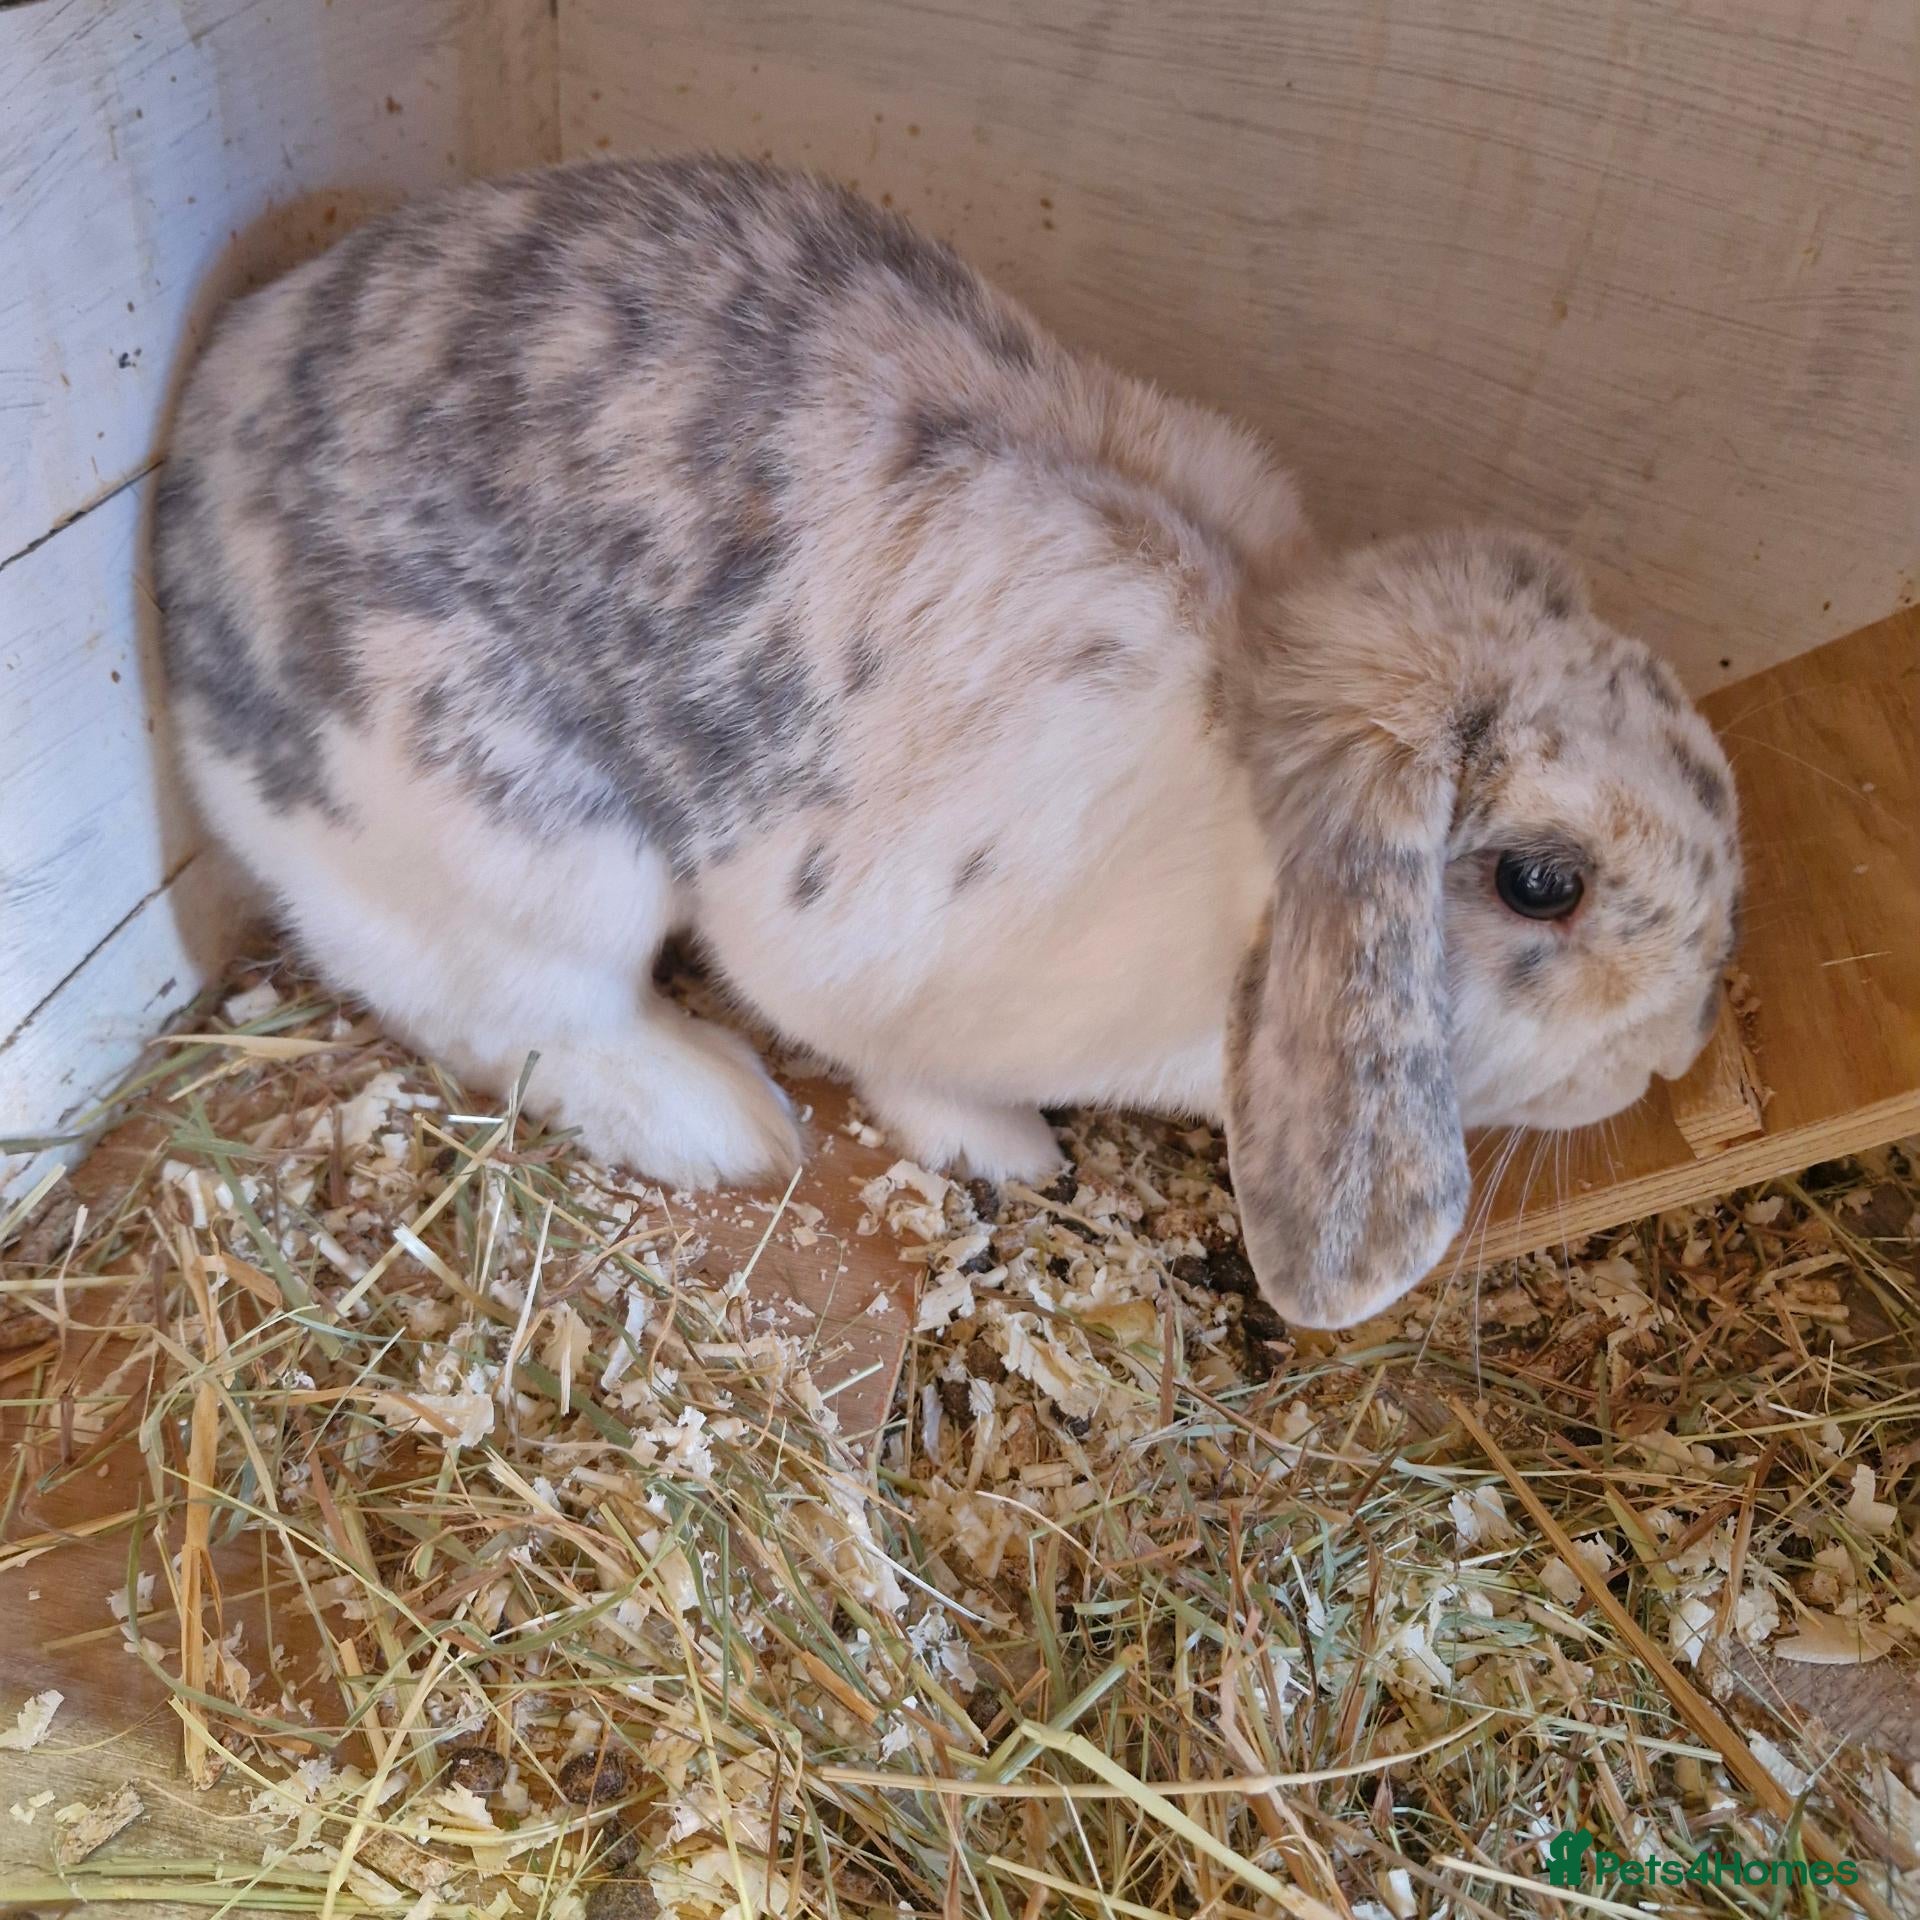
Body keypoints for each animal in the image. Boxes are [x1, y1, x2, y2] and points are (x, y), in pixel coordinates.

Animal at [153, 155, 1741, 1330]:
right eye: (1541, 884)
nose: (1673, 1054)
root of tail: (189, 490)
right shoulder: (869, 954)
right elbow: (903, 1068)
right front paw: (1011, 1153)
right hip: (523, 849)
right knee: (509, 1013)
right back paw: (726, 1120)